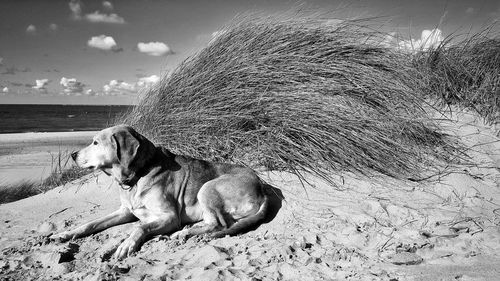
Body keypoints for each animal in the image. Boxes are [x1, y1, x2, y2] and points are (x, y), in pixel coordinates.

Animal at [49, 124, 270, 258]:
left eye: (95, 142)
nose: (73, 155)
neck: (139, 173)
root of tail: (262, 187)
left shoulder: (170, 216)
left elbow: (140, 228)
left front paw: (126, 244)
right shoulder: (125, 211)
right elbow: (90, 224)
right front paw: (66, 234)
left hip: (206, 188)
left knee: (219, 225)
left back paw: (183, 233)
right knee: (214, 223)